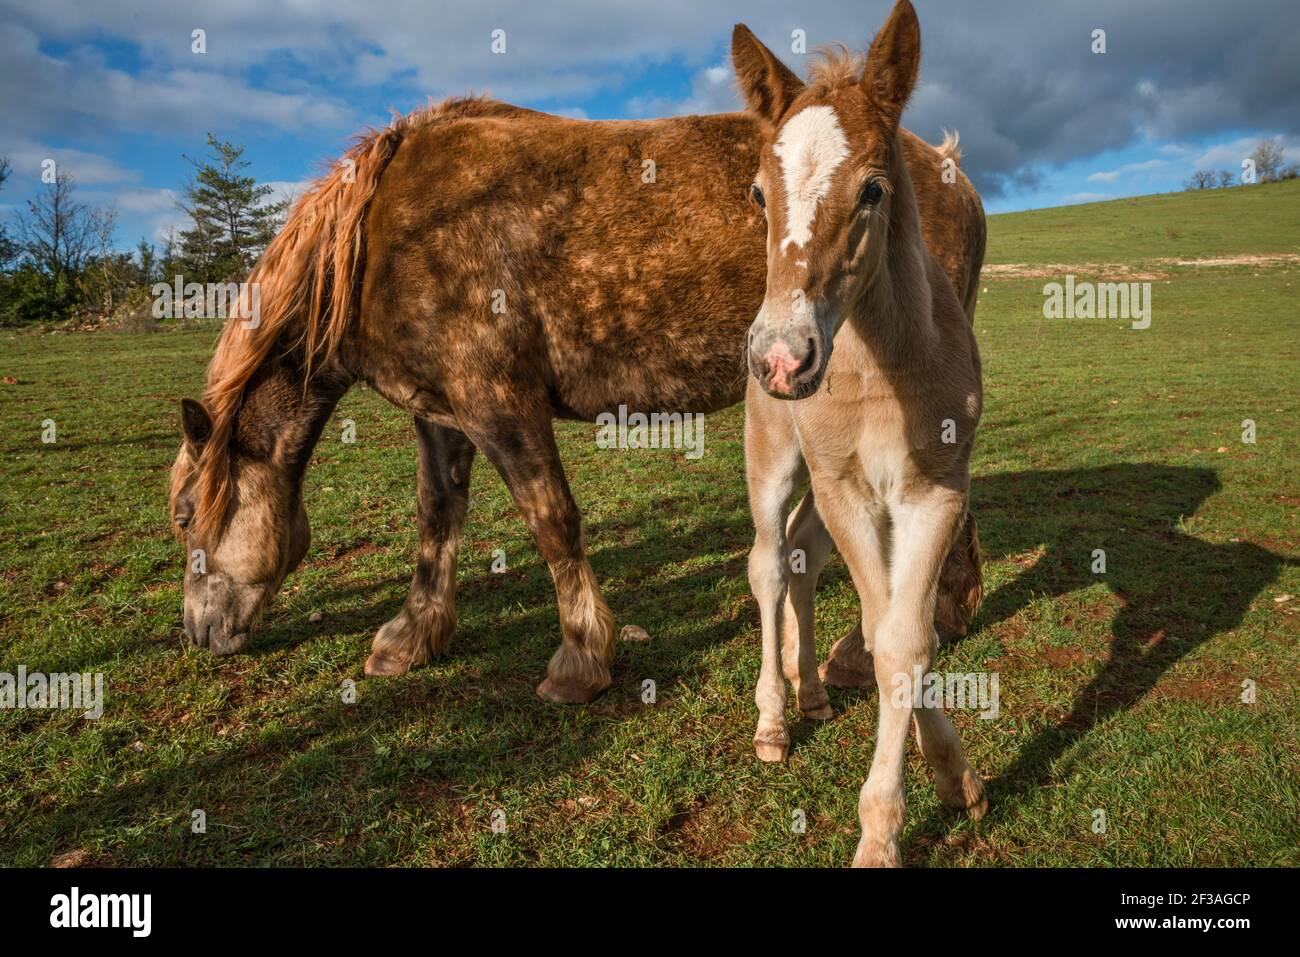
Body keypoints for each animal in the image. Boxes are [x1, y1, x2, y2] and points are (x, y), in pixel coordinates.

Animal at [168, 39, 986, 706]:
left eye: (182, 516)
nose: (197, 634)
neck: (385, 242)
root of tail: (953, 172)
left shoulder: (499, 403)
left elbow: (551, 519)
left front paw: (581, 657)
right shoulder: (440, 413)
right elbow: (438, 517)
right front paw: (413, 636)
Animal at [735, 0, 988, 866]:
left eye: (873, 188)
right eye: (757, 192)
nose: (782, 358)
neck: (884, 369)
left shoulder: (933, 490)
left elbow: (907, 641)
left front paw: (951, 780)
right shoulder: (849, 490)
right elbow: (884, 634)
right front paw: (884, 828)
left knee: (803, 558)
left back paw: (811, 692)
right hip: (779, 462)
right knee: (769, 559)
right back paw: (773, 720)